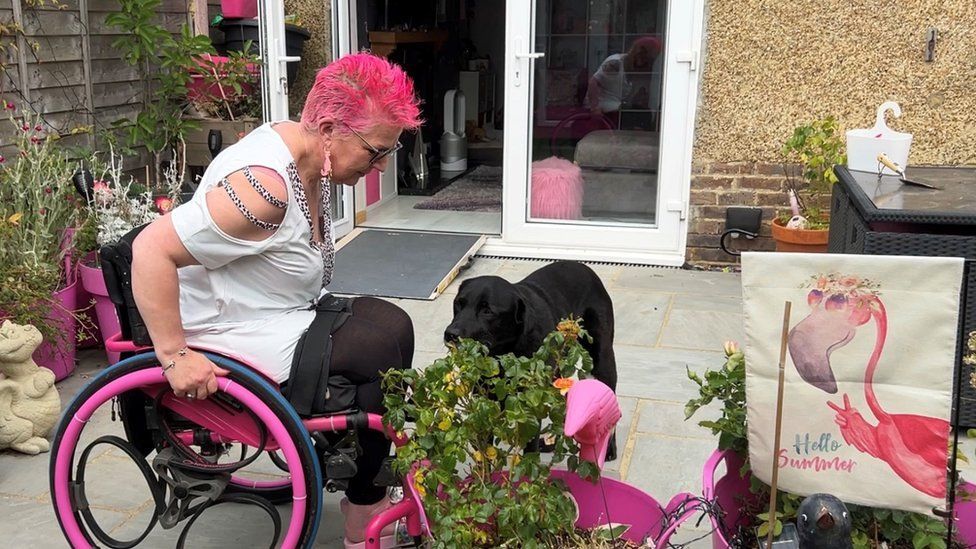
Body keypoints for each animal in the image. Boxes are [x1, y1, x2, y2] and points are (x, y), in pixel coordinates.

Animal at [444, 260, 612, 460]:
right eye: (458, 304)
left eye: (487, 311)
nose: (450, 334)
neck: (505, 353)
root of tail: (584, 267)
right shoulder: (484, 400)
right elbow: (485, 446)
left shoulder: (531, 402)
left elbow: (529, 444)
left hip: (602, 360)